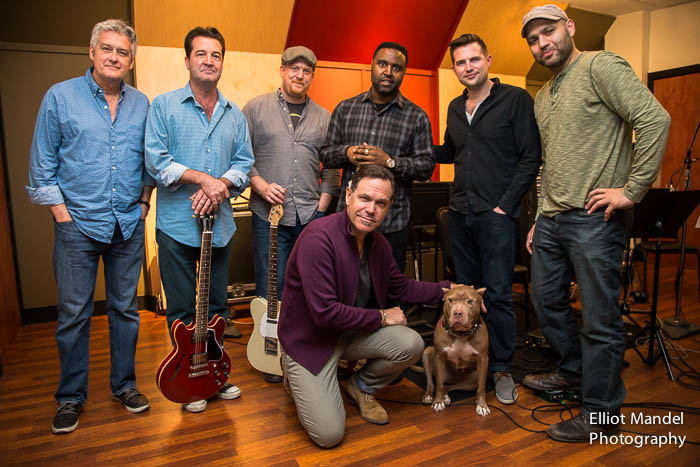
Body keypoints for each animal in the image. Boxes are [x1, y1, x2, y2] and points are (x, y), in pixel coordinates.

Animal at [412, 286, 490, 416]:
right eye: (450, 300)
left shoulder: (483, 359)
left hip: (471, 381)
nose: (458, 313)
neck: (460, 334)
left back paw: (446, 396)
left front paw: (482, 405)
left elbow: (482, 387)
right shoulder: (439, 357)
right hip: (427, 353)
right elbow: (438, 384)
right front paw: (438, 402)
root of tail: (453, 378)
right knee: (432, 383)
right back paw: (429, 396)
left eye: (469, 301)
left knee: (449, 387)